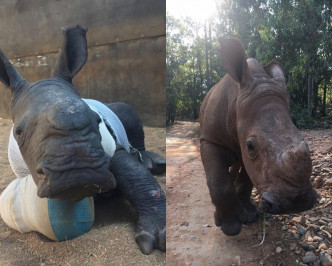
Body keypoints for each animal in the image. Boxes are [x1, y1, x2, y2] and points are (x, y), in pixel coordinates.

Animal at [0, 25, 165, 256]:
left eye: (97, 119)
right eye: (19, 131)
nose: (79, 172)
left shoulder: (109, 149)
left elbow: (136, 177)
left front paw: (158, 233)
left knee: (127, 111)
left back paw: (150, 161)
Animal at [198, 38, 318, 236]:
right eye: (250, 146)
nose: (297, 202)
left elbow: (247, 180)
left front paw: (249, 216)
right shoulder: (210, 139)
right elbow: (218, 181)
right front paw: (230, 227)